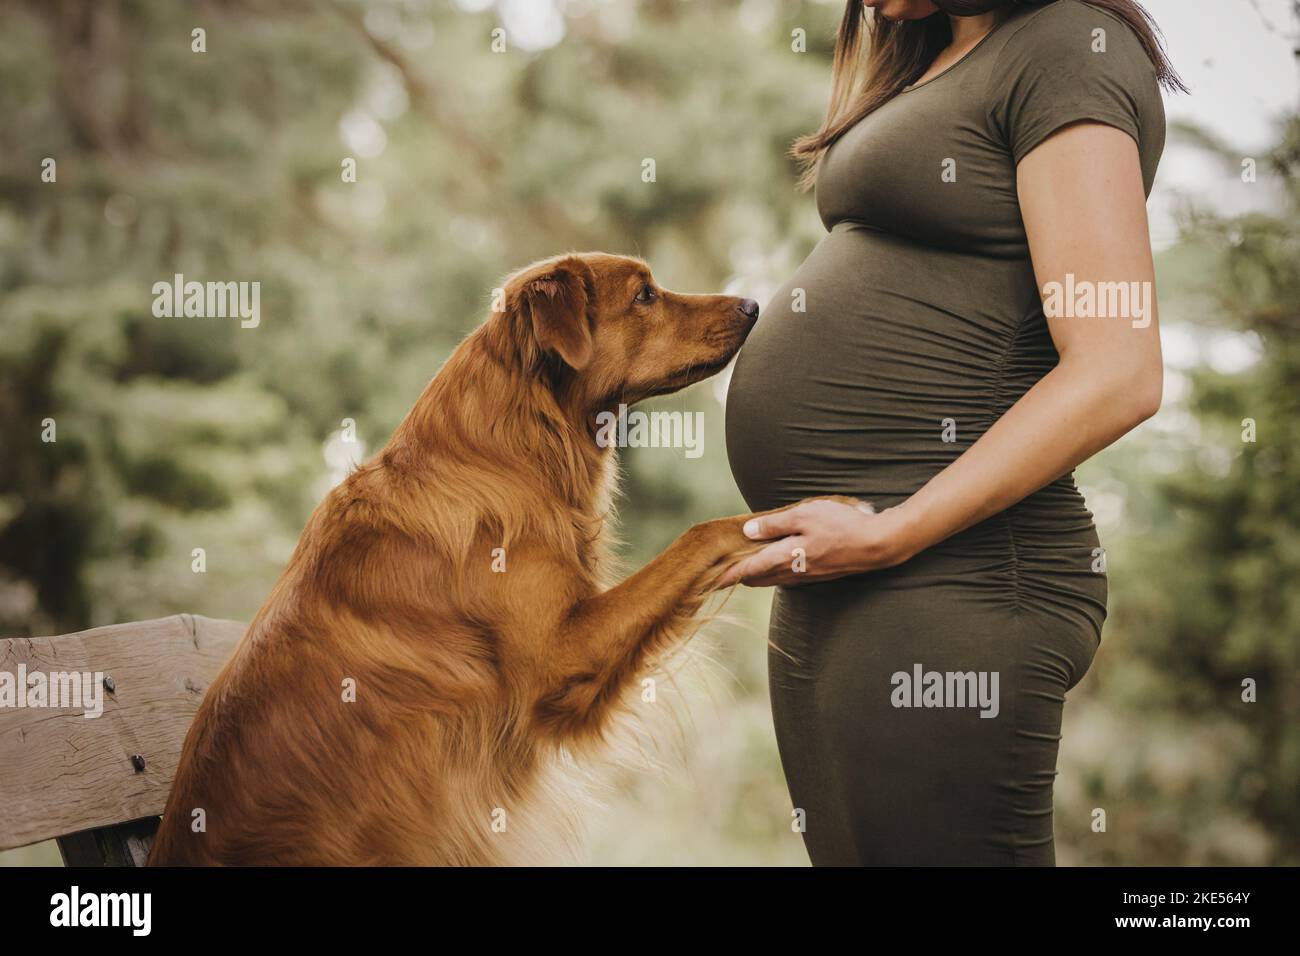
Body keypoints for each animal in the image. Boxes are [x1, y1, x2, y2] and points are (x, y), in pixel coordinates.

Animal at [152, 252, 780, 868]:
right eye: (645, 295)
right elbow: (701, 535)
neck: (512, 451)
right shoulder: (561, 658)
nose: (753, 305)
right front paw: (789, 518)